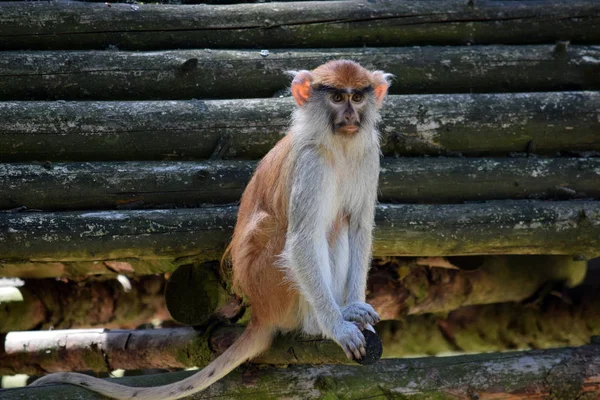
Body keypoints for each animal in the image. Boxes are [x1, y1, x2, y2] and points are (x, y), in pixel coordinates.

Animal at [30, 59, 392, 400]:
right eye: (336, 98)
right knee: (315, 234)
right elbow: (303, 241)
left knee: (340, 224)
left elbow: (359, 227)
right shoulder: (311, 165)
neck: (338, 145)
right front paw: (337, 327)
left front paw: (353, 307)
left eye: (358, 97)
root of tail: (260, 313)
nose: (350, 116)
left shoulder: (369, 156)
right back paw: (316, 323)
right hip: (272, 284)